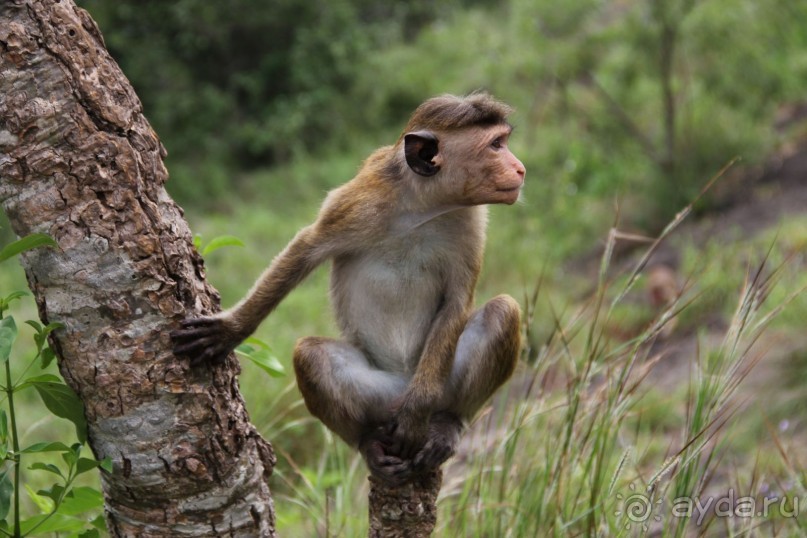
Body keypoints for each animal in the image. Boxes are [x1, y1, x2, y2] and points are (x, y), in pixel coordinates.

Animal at [172, 92, 524, 482]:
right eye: (495, 146)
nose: (520, 168)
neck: (424, 206)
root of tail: (402, 381)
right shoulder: (358, 203)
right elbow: (305, 249)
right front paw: (231, 330)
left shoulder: (472, 222)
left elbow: (458, 300)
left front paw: (418, 412)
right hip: (377, 396)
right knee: (310, 354)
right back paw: (367, 440)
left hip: (437, 381)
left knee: (503, 311)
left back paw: (447, 422)